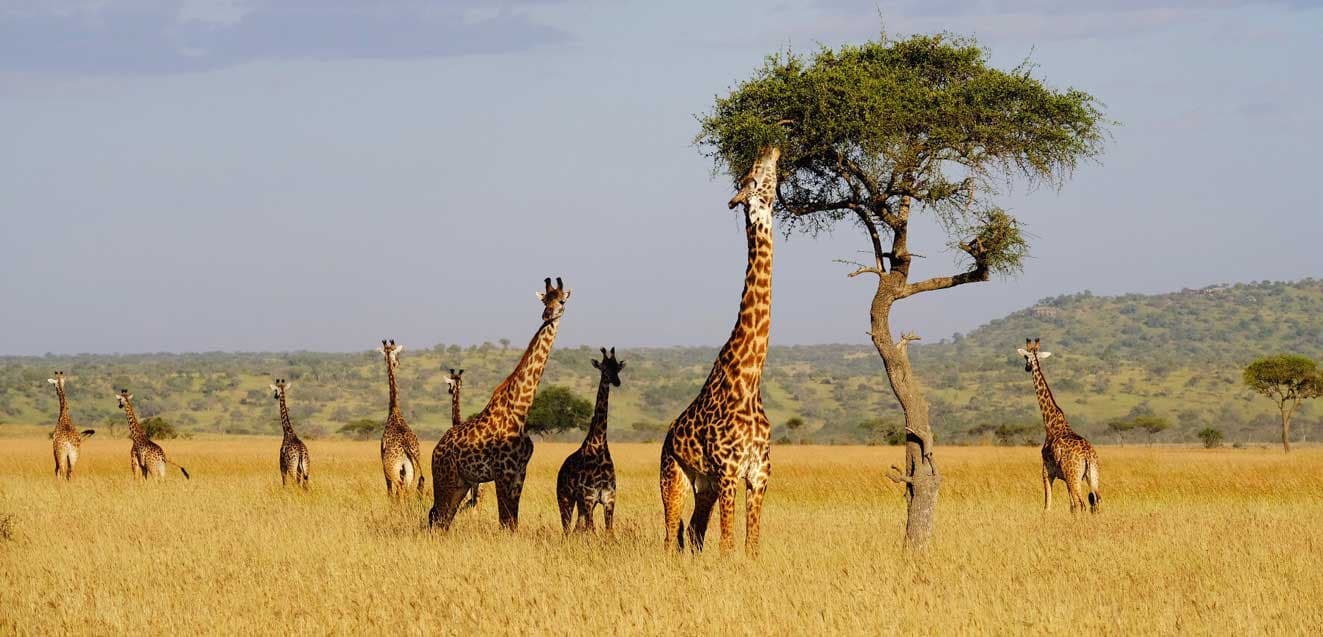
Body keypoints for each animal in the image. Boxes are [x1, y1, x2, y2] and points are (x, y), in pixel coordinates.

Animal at [379, 339, 425, 501]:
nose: (397, 362)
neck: (394, 410)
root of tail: (406, 446)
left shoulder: (383, 463)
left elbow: (389, 491)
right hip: (412, 468)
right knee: (408, 489)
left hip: (392, 467)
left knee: (399, 487)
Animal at [556, 347, 624, 535]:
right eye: (604, 368)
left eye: (617, 367)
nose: (616, 382)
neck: (599, 445)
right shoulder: (589, 498)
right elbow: (592, 531)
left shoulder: (608, 500)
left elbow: (608, 532)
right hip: (565, 498)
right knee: (567, 529)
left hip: (581, 504)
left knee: (576, 528)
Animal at [660, 145, 781, 556]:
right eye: (753, 176)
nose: (771, 147)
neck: (749, 378)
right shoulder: (729, 472)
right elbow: (729, 545)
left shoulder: (759, 474)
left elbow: (752, 546)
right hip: (674, 475)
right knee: (671, 535)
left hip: (705, 485)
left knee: (695, 533)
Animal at [1018, 338, 1101, 513]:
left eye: (1026, 357)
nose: (1027, 368)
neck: (1050, 423)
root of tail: (1088, 455)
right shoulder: (1064, 477)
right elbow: (1070, 507)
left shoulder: (1047, 471)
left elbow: (1047, 506)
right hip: (1091, 475)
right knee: (1095, 502)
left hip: (1073, 475)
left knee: (1082, 503)